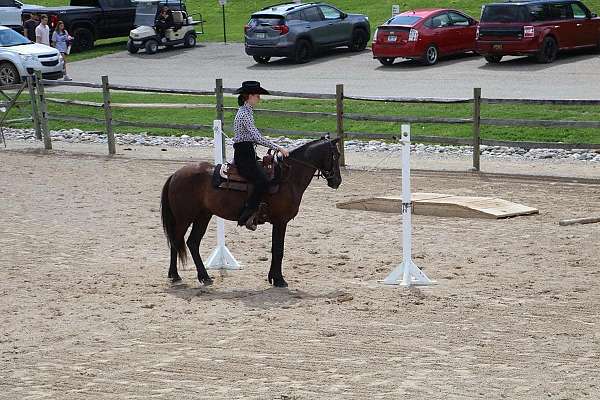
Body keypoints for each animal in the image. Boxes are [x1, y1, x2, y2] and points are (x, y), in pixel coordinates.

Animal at [159, 138, 342, 288]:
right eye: (336, 155)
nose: (337, 181)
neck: (288, 178)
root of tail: (175, 174)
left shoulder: (278, 222)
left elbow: (275, 249)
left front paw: (273, 278)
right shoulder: (281, 221)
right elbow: (278, 250)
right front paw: (280, 280)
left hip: (203, 216)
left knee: (192, 242)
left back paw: (203, 277)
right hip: (184, 218)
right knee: (176, 241)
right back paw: (175, 275)